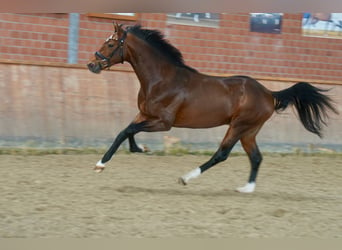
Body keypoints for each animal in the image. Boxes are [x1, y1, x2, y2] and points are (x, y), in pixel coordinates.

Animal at [87, 23, 338, 193]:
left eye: (110, 43)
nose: (92, 65)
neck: (162, 79)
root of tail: (269, 93)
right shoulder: (144, 114)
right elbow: (125, 132)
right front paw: (139, 149)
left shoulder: (163, 123)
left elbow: (126, 131)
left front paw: (101, 164)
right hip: (249, 131)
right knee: (256, 157)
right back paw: (246, 189)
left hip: (239, 126)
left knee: (222, 154)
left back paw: (186, 178)